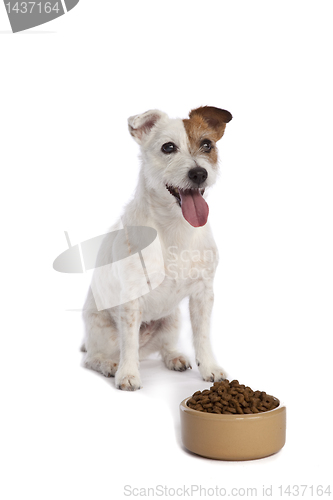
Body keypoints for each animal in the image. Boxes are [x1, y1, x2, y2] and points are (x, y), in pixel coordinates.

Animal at [81, 105, 231, 390]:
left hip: (172, 320)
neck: (175, 228)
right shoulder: (131, 298)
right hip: (101, 330)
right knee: (94, 357)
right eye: (168, 147)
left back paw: (174, 357)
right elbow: (128, 342)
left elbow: (202, 336)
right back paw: (109, 365)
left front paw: (209, 368)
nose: (199, 173)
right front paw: (128, 374)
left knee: (164, 347)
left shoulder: (203, 294)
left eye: (207, 144)